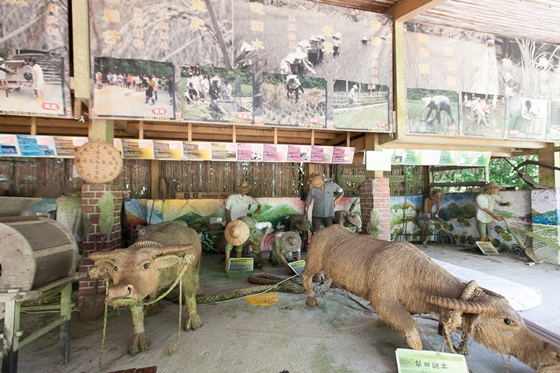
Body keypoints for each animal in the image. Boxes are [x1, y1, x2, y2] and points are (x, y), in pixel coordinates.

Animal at [91, 221, 205, 354]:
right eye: (115, 268)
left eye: (146, 265)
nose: (118, 291)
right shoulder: (137, 291)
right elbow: (136, 312)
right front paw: (139, 338)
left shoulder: (186, 272)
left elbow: (189, 296)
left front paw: (193, 320)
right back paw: (152, 306)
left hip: (197, 263)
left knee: (197, 275)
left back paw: (198, 291)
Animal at [306, 222, 560, 370]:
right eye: (507, 321)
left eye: (517, 317)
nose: (554, 356)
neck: (413, 274)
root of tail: (321, 231)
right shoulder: (382, 300)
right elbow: (411, 332)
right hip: (313, 261)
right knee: (307, 277)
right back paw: (310, 299)